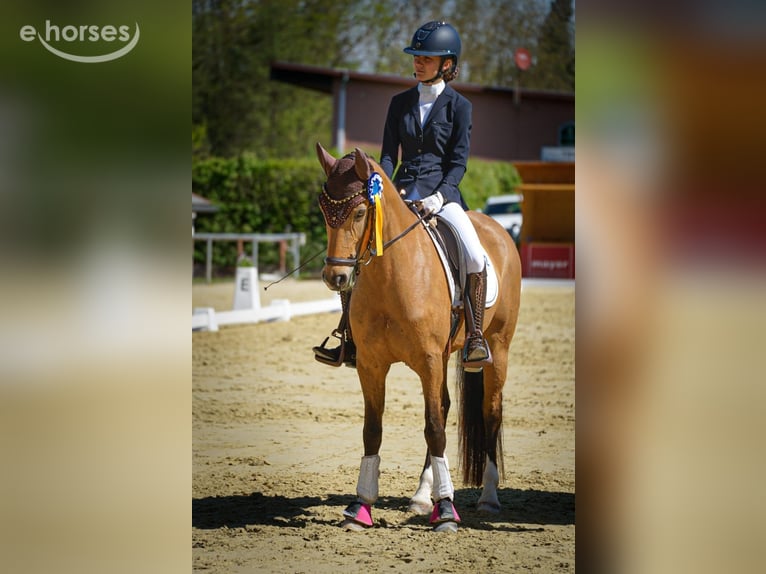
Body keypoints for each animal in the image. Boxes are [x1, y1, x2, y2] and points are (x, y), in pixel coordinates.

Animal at [315, 143, 521, 532]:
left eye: (360, 211)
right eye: (323, 210)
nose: (336, 277)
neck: (390, 276)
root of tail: (498, 231)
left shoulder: (427, 360)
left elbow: (435, 428)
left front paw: (447, 513)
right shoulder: (371, 364)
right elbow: (373, 430)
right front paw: (360, 507)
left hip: (497, 348)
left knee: (490, 411)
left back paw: (487, 497)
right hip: (443, 356)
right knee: (445, 405)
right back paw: (423, 495)